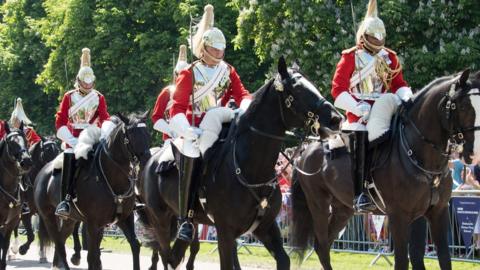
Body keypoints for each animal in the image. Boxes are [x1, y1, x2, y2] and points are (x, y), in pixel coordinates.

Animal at [34, 112, 150, 270]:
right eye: (131, 135)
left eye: (147, 133)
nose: (147, 160)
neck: (111, 178)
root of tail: (42, 172)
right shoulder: (93, 224)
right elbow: (92, 256)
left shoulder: (125, 218)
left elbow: (135, 246)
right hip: (49, 217)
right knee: (59, 243)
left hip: (70, 220)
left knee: (62, 239)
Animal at [288, 70, 480, 270]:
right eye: (463, 106)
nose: (474, 153)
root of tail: (307, 149)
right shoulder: (399, 216)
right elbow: (403, 260)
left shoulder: (436, 213)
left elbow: (438, 258)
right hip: (319, 205)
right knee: (322, 244)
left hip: (343, 209)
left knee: (323, 244)